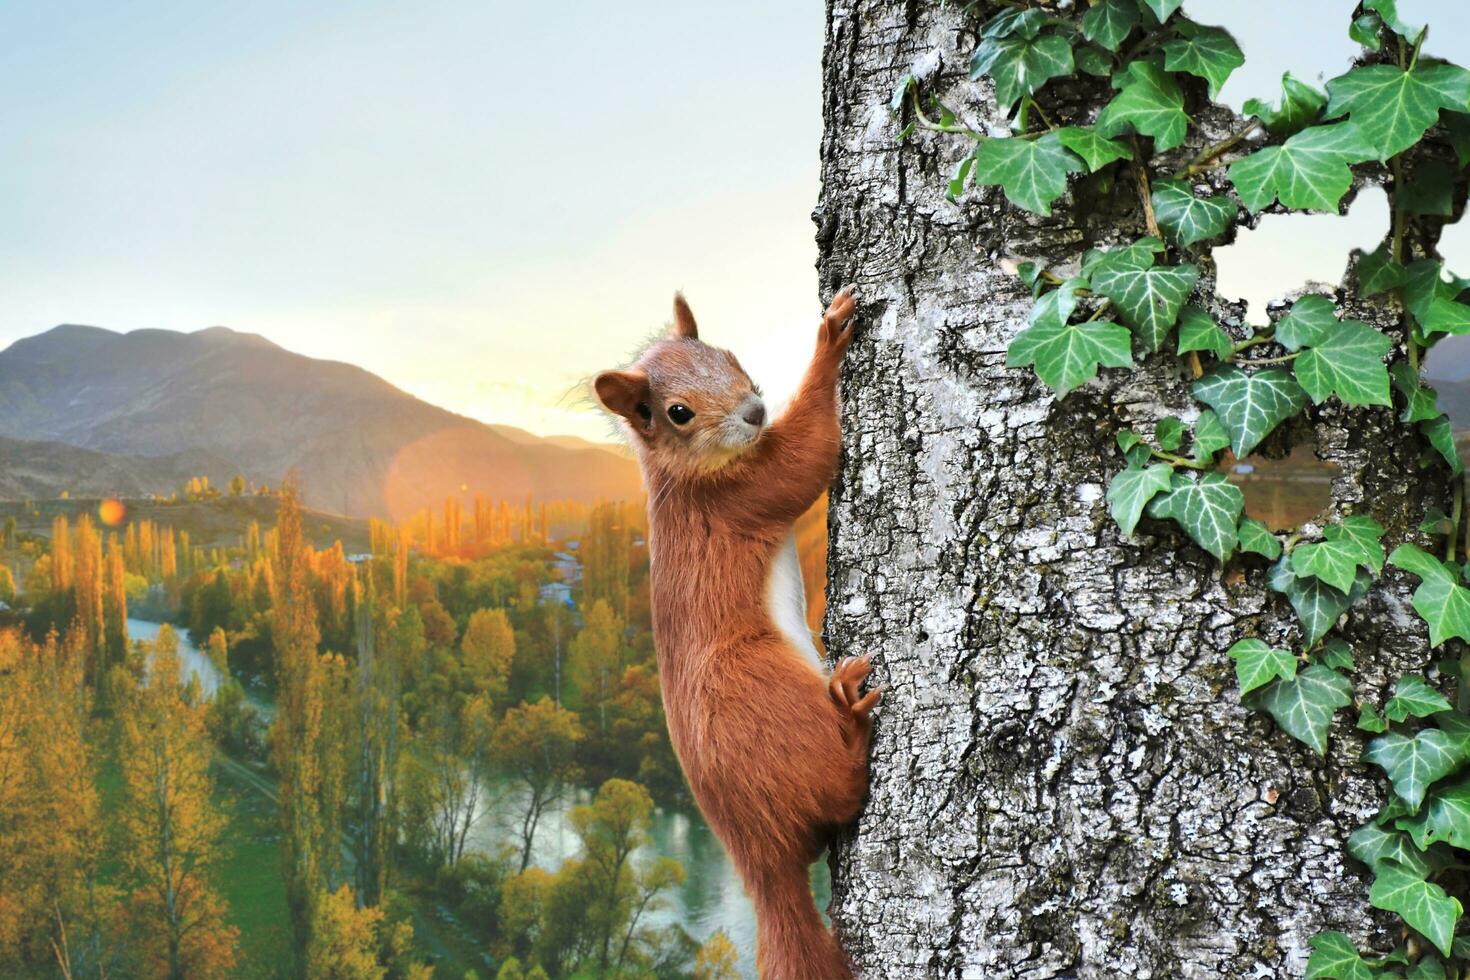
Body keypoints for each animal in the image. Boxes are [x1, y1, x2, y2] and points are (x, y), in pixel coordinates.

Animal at [593, 290, 876, 980]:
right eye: (677, 412)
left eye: (727, 354)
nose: (754, 411)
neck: (685, 474)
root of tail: (758, 858)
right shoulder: (739, 495)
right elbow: (806, 457)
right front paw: (828, 341)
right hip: (763, 689)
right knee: (842, 796)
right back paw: (852, 722)